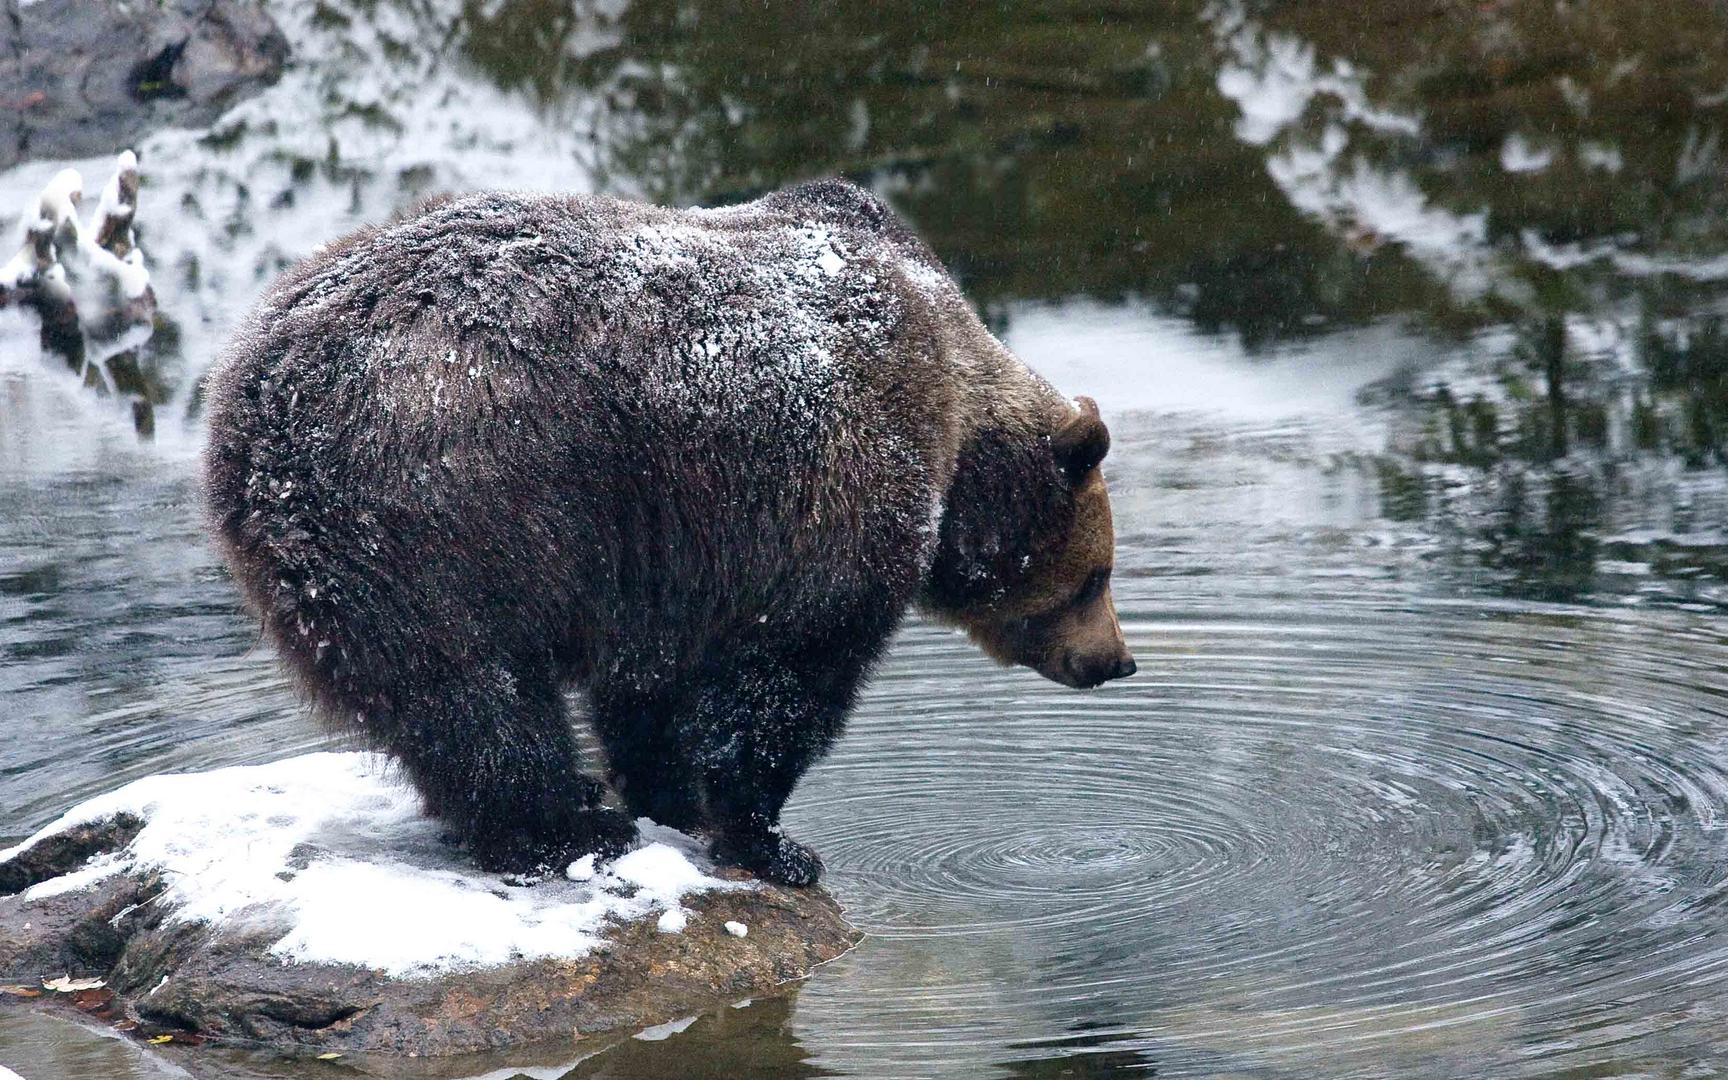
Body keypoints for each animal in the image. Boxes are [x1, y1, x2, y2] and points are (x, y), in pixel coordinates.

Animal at [202, 178, 1140, 884]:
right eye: (1097, 577)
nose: (1116, 661)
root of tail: (257, 398)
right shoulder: (830, 489)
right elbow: (786, 676)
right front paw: (773, 841)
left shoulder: (664, 558)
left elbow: (648, 692)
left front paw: (673, 798)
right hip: (450, 505)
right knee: (473, 688)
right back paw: (564, 828)